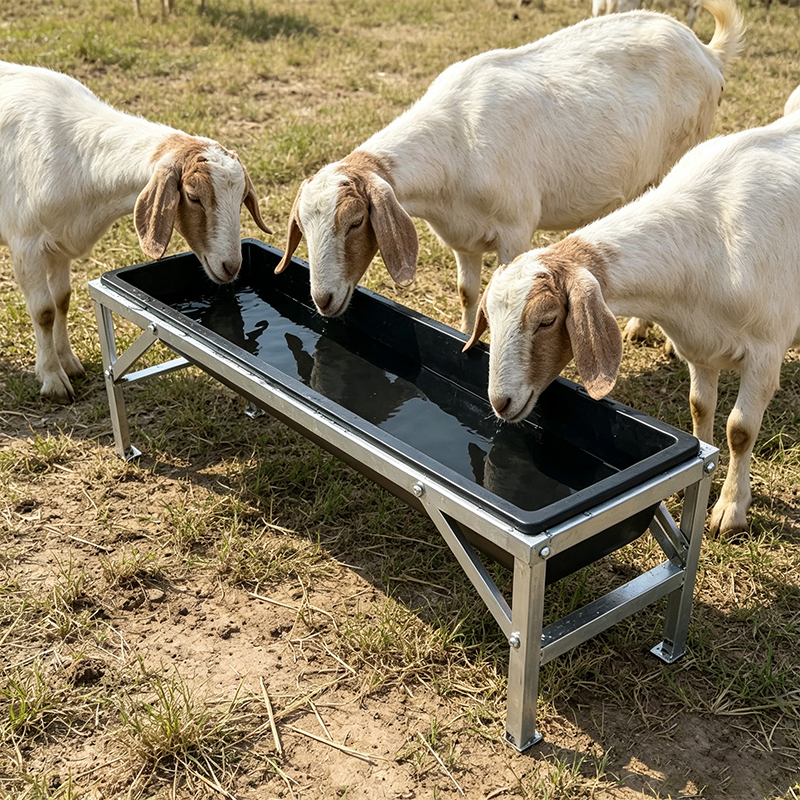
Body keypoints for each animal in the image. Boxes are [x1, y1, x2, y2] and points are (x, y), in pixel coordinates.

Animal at [0, 61, 271, 403]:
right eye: (193, 196)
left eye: (241, 198)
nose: (232, 266)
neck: (76, 155)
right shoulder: (27, 243)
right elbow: (44, 311)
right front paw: (52, 378)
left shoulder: (60, 243)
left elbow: (62, 299)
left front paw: (68, 362)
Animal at [276, 0, 743, 335]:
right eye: (302, 223)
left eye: (356, 221)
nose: (322, 300)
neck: (456, 138)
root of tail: (706, 52)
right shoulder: (460, 236)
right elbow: (468, 294)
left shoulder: (516, 229)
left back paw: (639, 329)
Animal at [462, 112, 800, 538]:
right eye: (489, 317)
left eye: (548, 320)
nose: (499, 402)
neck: (710, 240)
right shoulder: (701, 345)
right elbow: (700, 407)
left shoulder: (765, 351)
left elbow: (740, 430)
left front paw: (730, 509)